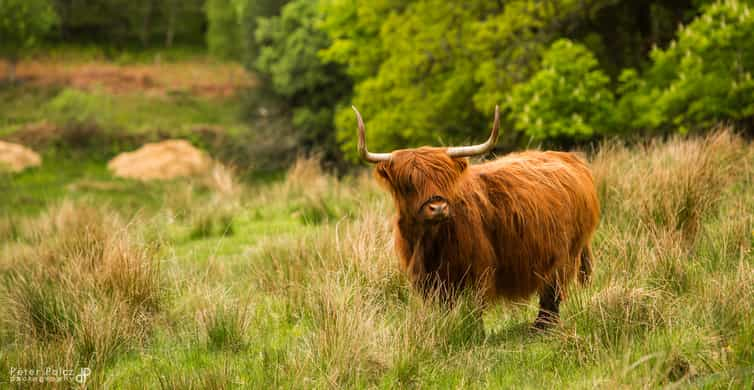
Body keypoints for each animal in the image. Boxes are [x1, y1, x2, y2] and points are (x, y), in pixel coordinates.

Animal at [352, 105, 600, 328]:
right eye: (409, 183)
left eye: (444, 178)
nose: (438, 207)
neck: (430, 241)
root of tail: (570, 158)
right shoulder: (428, 277)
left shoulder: (476, 268)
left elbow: (474, 305)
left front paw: (474, 330)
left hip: (567, 253)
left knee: (552, 290)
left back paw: (542, 326)